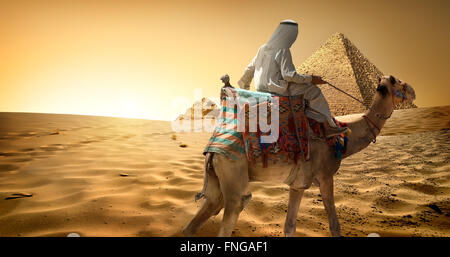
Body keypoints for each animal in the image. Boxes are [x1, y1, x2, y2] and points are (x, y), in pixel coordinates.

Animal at [182, 74, 414, 236]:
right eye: (397, 81)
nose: (412, 91)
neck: (342, 139)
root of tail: (212, 148)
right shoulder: (325, 176)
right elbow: (334, 225)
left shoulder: (298, 184)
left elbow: (289, 226)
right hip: (233, 170)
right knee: (235, 207)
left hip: (217, 178)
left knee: (200, 217)